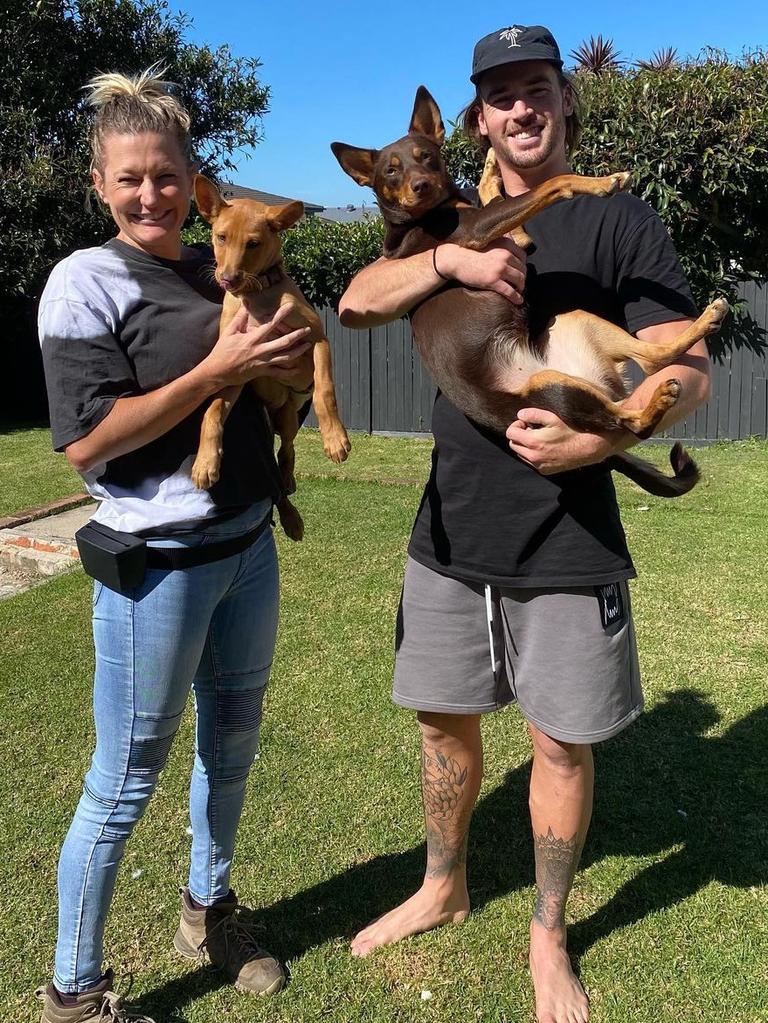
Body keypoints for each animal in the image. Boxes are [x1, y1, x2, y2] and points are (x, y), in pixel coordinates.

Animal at [192, 173, 351, 544]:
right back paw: (290, 517)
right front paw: (206, 463)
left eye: (253, 244)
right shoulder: (235, 368)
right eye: (221, 237)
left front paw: (334, 438)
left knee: (286, 451)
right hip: (270, 419)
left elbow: (324, 390)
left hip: (288, 417)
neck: (257, 298)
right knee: (274, 476)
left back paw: (292, 494)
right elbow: (212, 412)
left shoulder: (316, 340)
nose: (227, 279)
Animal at [331, 85, 728, 493]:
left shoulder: (517, 240)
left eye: (426, 157)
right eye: (390, 171)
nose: (420, 185)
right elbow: (553, 183)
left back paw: (707, 320)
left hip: (576, 324)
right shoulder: (479, 232)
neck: (424, 216)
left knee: (651, 361)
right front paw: (601, 183)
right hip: (550, 389)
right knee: (634, 422)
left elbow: (500, 194)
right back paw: (659, 397)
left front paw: (491, 168)